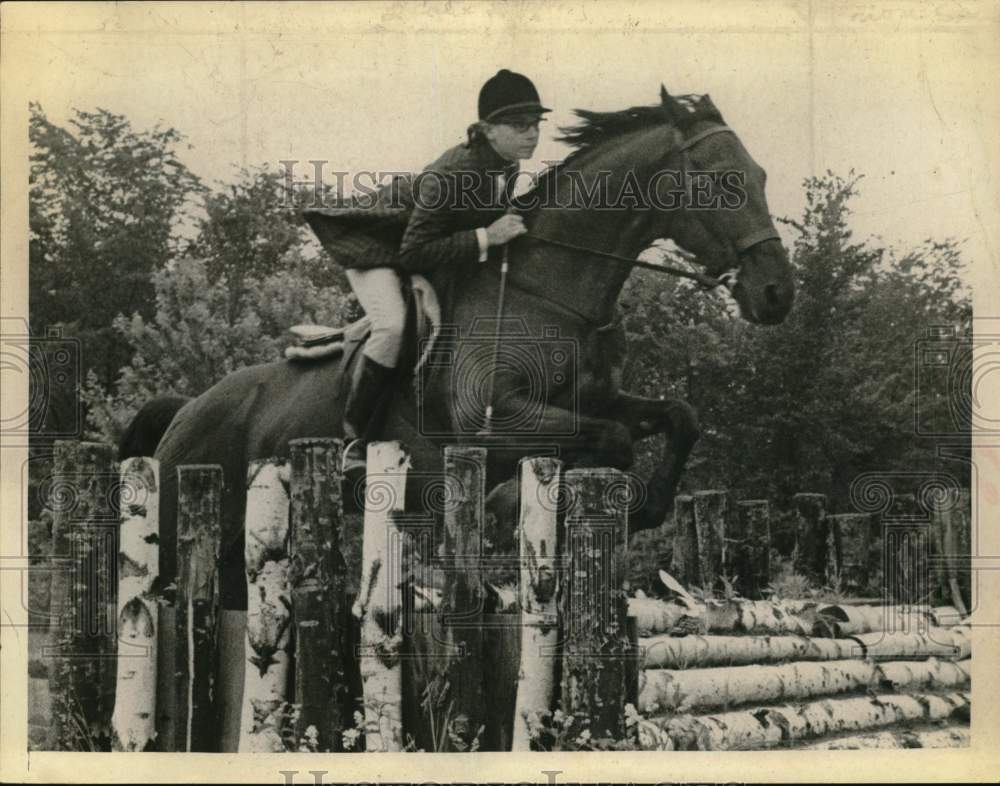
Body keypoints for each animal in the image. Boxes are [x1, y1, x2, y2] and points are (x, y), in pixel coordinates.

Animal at [145, 86, 792, 748]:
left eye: (760, 177)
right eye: (720, 182)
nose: (776, 294)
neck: (547, 292)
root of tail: (186, 410)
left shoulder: (594, 404)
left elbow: (677, 418)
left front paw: (644, 508)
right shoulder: (494, 423)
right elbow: (610, 444)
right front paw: (516, 512)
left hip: (236, 548)